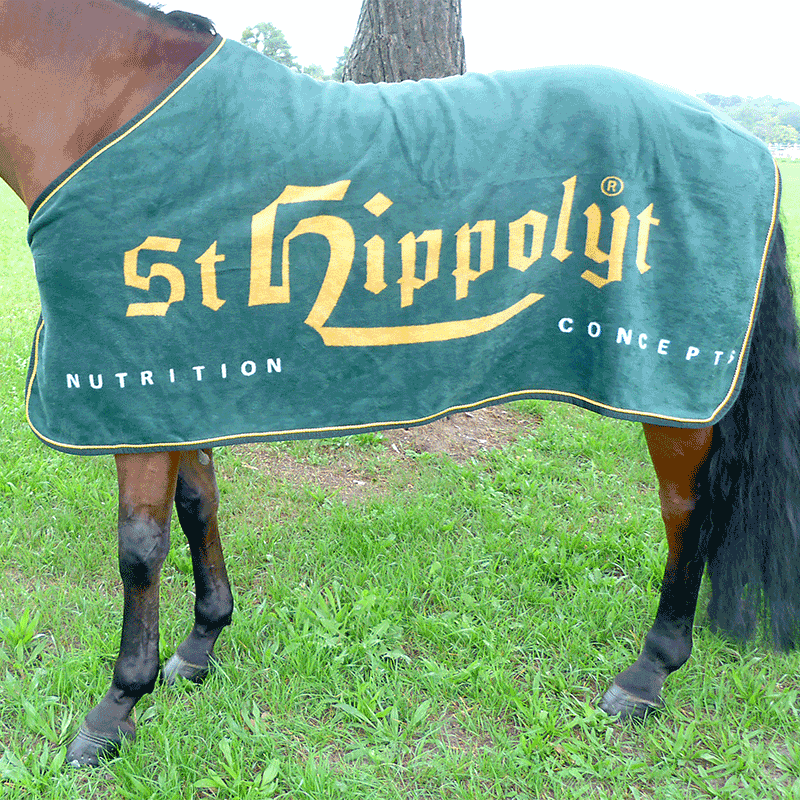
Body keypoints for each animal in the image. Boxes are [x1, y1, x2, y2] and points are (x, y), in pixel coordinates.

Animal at [2, 0, 800, 770]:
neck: (109, 112)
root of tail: (746, 142)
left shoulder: (131, 389)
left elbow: (139, 549)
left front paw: (113, 714)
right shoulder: (172, 384)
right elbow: (199, 508)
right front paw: (199, 648)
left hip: (670, 385)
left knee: (686, 510)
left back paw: (647, 674)